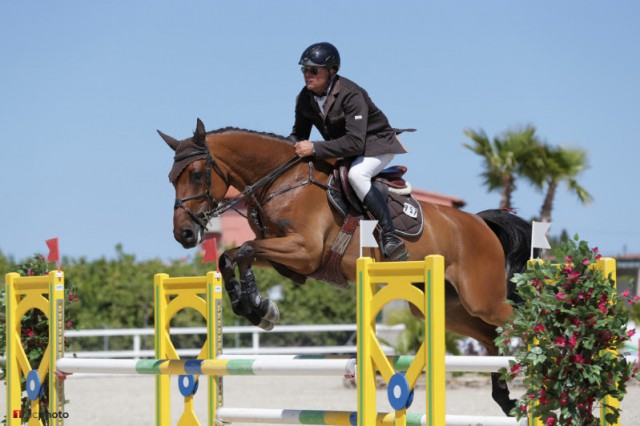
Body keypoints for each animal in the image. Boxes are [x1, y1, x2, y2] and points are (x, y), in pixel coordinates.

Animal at [159, 118, 536, 414]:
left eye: (196, 174)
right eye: (171, 178)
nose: (184, 234)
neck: (281, 181)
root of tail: (481, 223)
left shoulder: (304, 251)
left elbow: (245, 251)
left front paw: (258, 306)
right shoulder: (288, 257)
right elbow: (232, 256)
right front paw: (254, 307)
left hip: (480, 297)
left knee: (513, 320)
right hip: (446, 308)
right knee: (490, 337)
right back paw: (505, 399)